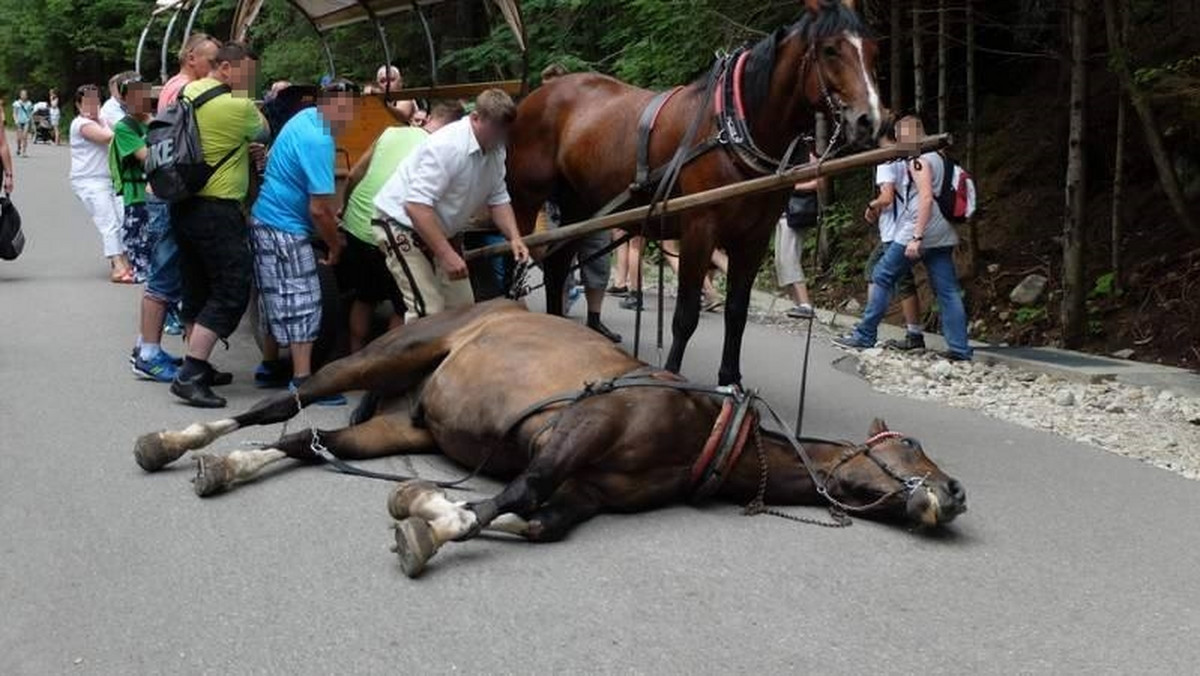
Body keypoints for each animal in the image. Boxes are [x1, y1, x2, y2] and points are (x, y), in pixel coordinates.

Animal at [131, 300, 964, 576]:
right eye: (913, 446)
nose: (954, 493)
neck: (704, 431)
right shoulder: (583, 427)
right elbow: (519, 491)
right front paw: (434, 525)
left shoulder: (590, 492)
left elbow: (539, 522)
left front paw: (420, 500)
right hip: (387, 354)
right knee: (283, 402)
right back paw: (178, 439)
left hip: (403, 418)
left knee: (308, 439)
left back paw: (229, 466)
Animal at [504, 0, 883, 386]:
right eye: (831, 49)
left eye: (873, 50)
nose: (870, 120)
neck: (732, 129)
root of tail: (537, 95)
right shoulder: (700, 228)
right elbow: (685, 315)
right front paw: (671, 375)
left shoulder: (754, 237)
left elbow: (736, 311)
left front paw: (730, 380)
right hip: (524, 197)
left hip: (579, 205)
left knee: (556, 267)